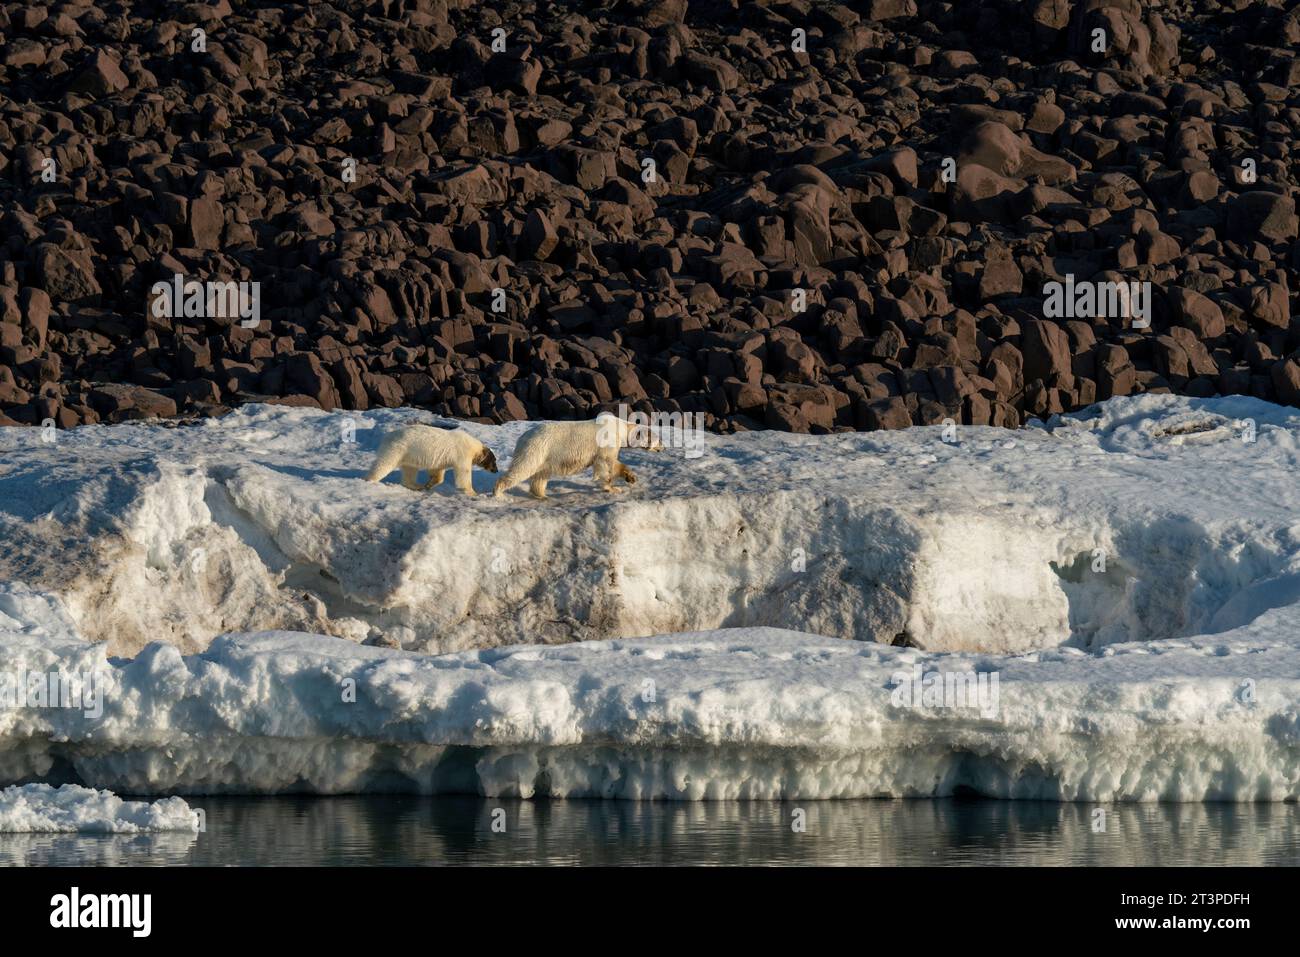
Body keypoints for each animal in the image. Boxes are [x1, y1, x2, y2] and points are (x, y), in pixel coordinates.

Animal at [366, 423, 496, 496]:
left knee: (410, 470)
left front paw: (428, 485)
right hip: (398, 448)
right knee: (384, 464)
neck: (474, 447)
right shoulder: (462, 453)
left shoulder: (440, 459)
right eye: (494, 461)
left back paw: (417, 485)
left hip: (409, 454)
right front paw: (473, 492)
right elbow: (463, 473)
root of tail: (387, 436)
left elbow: (437, 472)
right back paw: (370, 480)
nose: (496, 471)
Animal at [493, 410, 665, 501]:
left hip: (546, 455)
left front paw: (630, 478)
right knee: (523, 468)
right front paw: (613, 488)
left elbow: (611, 463)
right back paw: (499, 493)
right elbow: (606, 463)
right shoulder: (607, 442)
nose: (663, 447)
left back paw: (542, 495)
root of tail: (522, 437)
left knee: (541, 475)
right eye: (659, 439)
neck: (621, 428)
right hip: (537, 448)